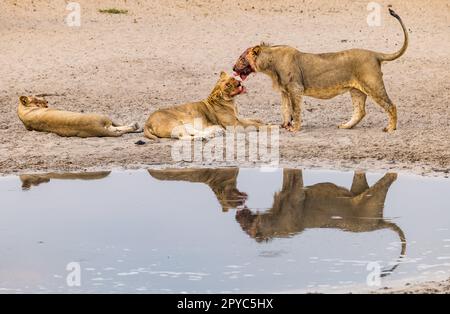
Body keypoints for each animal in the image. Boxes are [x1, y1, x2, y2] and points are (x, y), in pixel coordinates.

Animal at [232, 8, 408, 132]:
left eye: (241, 58)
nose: (233, 68)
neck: (270, 65)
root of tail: (375, 54)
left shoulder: (295, 89)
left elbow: (295, 110)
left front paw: (294, 128)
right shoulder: (284, 91)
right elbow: (285, 109)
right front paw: (284, 125)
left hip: (373, 85)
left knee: (391, 105)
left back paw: (390, 128)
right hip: (356, 90)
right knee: (360, 111)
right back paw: (346, 126)